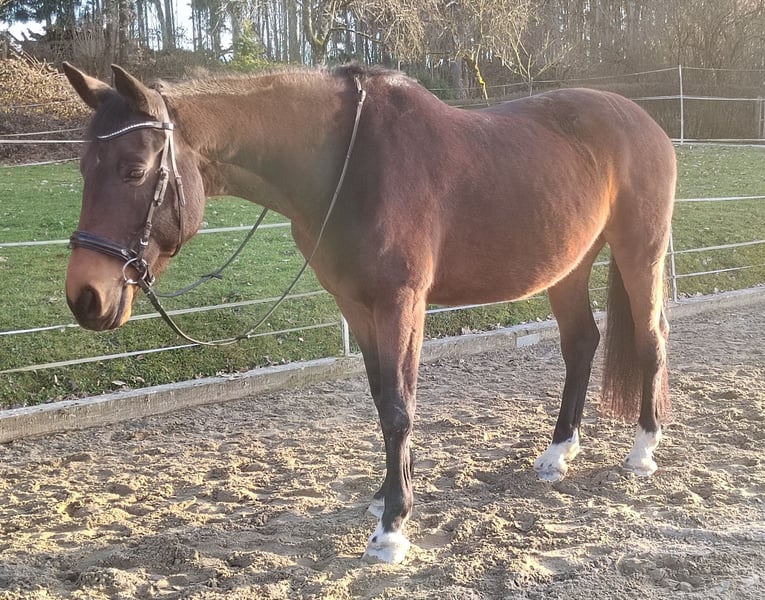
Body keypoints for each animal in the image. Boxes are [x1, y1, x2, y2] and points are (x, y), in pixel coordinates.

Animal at [62, 62, 676, 564]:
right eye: (84, 168)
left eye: (134, 169)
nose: (85, 296)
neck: (349, 164)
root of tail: (646, 123)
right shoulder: (355, 306)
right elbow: (382, 399)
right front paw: (385, 497)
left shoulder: (400, 303)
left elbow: (400, 409)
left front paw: (393, 528)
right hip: (570, 268)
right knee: (581, 343)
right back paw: (558, 452)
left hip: (639, 254)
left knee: (651, 341)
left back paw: (643, 450)